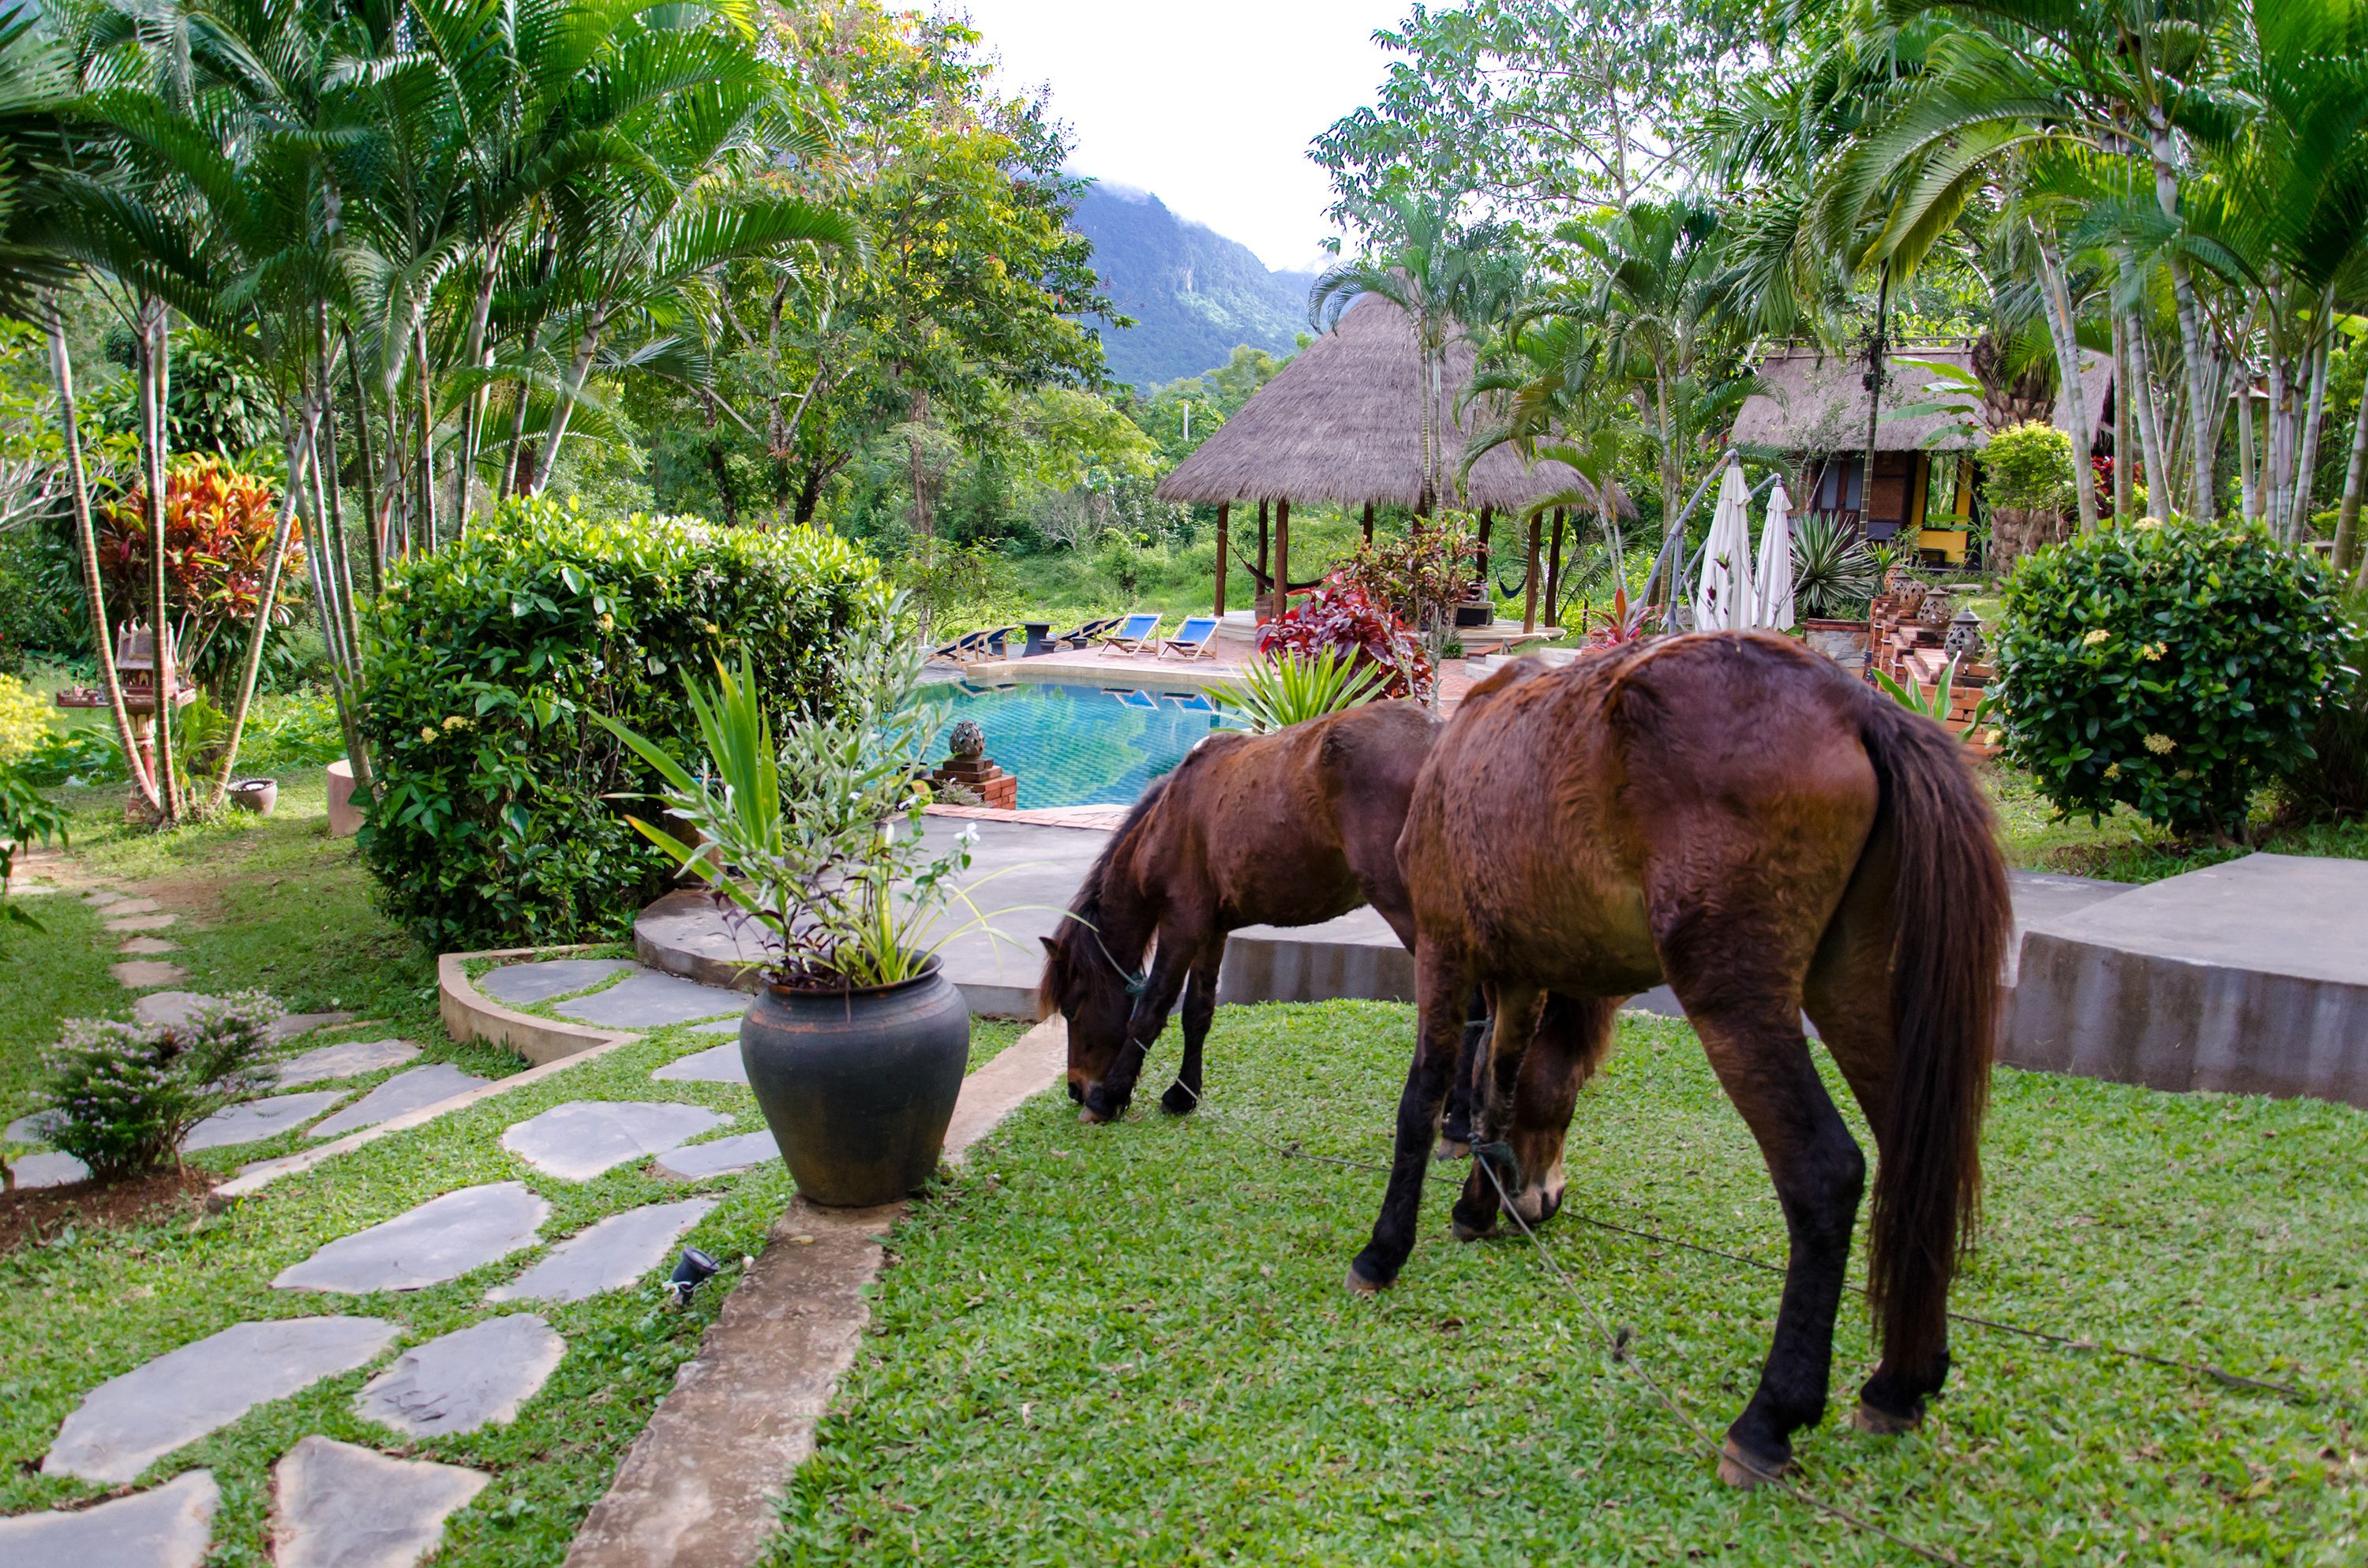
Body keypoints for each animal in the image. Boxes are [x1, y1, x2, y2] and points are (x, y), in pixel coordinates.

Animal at [1039, 700, 1447, 1125]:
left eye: (1071, 1008)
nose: (1076, 1089)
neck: (1167, 820)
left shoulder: (1181, 927)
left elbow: (1151, 1009)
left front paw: (1108, 1098)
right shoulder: (1211, 930)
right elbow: (1197, 1012)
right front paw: (1182, 1094)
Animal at [1350, 633, 2010, 1489]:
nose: (1542, 1199)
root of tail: (1857, 702)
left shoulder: (1445, 948)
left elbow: (1427, 1095)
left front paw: (1384, 1250)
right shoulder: (1524, 974)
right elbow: (1498, 1088)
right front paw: (1479, 1205)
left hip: (1737, 999)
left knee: (1827, 1172)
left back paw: (1770, 1417)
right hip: (1854, 986)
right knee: (1912, 1153)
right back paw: (1900, 1381)